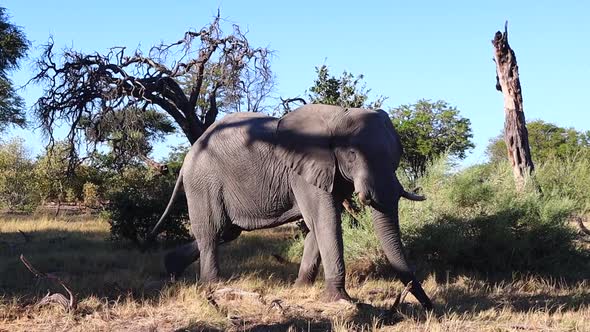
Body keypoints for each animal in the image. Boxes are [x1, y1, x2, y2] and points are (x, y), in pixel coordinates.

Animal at [148, 104, 434, 308]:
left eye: (396, 156)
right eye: (352, 155)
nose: (430, 307)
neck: (337, 116)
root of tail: (186, 159)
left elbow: (318, 225)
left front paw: (301, 289)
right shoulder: (304, 171)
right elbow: (326, 221)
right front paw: (340, 301)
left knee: (226, 232)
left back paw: (171, 268)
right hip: (204, 182)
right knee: (212, 232)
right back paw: (213, 286)